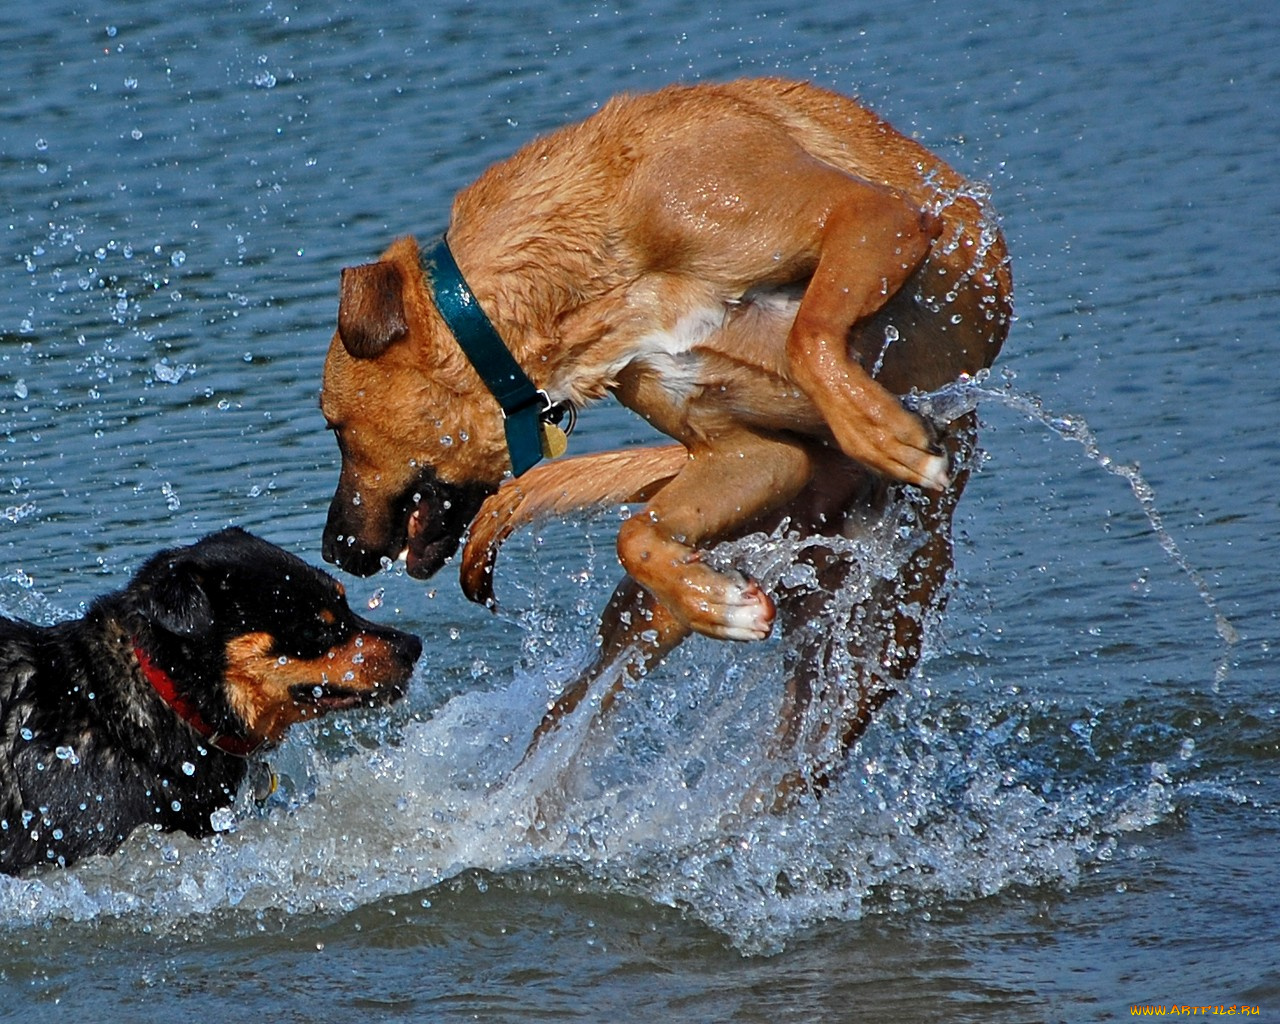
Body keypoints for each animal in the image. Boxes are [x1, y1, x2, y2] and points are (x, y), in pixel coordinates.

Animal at [322, 78, 1008, 793]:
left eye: (336, 427)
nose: (332, 549)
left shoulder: (874, 216)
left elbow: (809, 333)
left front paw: (884, 432)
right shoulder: (752, 452)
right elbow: (636, 535)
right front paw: (724, 604)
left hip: (879, 638)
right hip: (653, 617)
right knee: (578, 723)